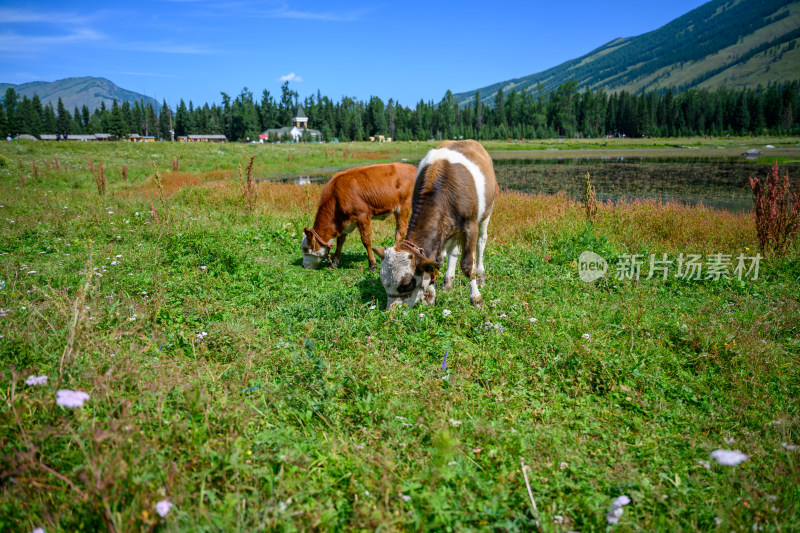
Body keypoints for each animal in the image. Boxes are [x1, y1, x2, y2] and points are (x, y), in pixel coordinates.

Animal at [374, 139, 496, 310]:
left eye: (407, 283)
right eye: (384, 283)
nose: (392, 311)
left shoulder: (470, 226)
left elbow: (467, 264)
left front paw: (476, 298)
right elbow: (435, 262)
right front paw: (431, 296)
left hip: (486, 213)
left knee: (481, 243)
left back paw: (480, 276)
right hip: (452, 230)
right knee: (453, 251)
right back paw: (448, 282)